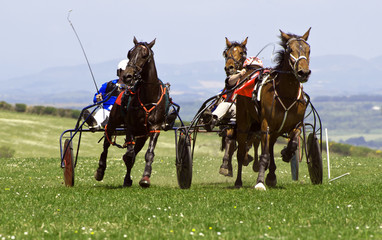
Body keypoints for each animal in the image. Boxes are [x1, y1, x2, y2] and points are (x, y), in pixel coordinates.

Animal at [94, 37, 169, 188]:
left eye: (145, 55)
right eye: (130, 53)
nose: (127, 76)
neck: (148, 97)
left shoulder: (155, 128)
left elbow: (148, 154)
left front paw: (145, 178)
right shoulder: (130, 126)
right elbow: (129, 156)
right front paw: (127, 178)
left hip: (142, 134)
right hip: (113, 122)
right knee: (106, 142)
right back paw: (101, 170)